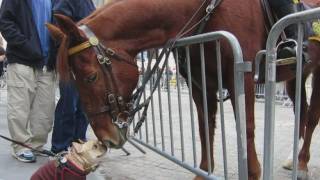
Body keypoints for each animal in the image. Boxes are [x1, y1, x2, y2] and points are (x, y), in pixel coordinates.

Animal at [45, 0, 320, 179]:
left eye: (90, 77)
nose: (106, 138)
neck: (207, 11)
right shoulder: (200, 84)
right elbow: (204, 129)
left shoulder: (242, 77)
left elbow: (248, 130)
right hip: (296, 77)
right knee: (302, 112)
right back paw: (293, 159)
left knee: (312, 117)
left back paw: (302, 163)